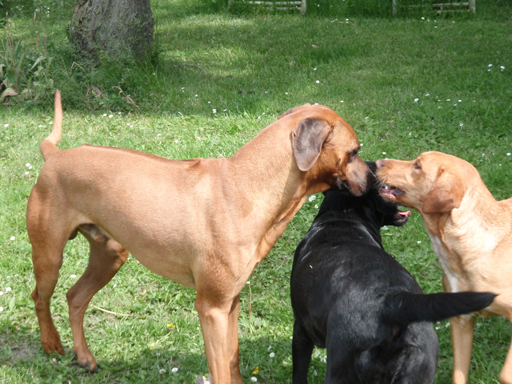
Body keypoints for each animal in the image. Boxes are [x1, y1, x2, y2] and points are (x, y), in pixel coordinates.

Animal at [26, 91, 370, 384]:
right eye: (354, 152)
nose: (373, 178)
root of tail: (54, 155)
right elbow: (220, 370)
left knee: (75, 297)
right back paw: (50, 343)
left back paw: (84, 357)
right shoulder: (211, 308)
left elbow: (232, 360)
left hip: (110, 255)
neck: (246, 187)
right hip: (49, 255)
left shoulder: (230, 303)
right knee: (40, 297)